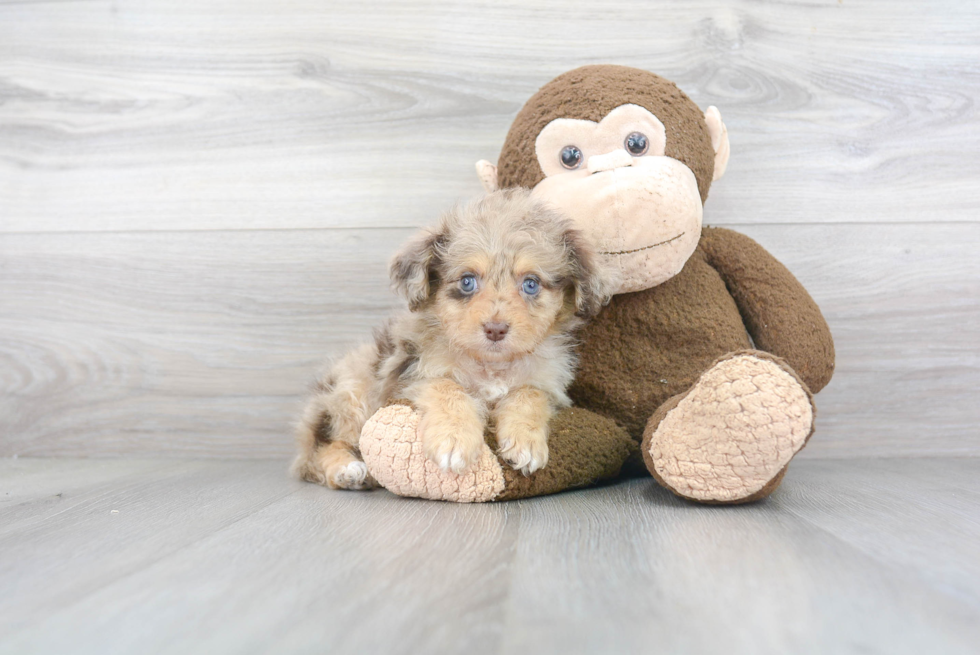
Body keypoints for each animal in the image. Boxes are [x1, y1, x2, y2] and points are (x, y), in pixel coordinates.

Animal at [290, 187, 612, 490]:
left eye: (531, 284)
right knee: (317, 451)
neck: (491, 366)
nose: (495, 329)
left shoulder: (548, 386)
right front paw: (455, 438)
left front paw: (525, 441)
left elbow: (528, 394)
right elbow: (447, 387)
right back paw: (347, 470)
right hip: (350, 396)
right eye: (467, 281)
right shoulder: (409, 376)